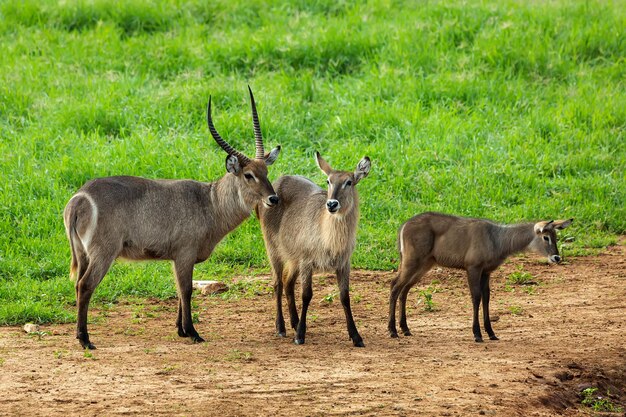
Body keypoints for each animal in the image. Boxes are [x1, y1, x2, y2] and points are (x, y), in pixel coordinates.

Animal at [61, 88, 280, 348]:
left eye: (266, 172)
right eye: (248, 175)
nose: (273, 198)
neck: (210, 202)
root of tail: (79, 198)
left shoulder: (177, 258)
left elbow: (178, 289)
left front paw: (181, 330)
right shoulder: (185, 254)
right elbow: (186, 290)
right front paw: (193, 332)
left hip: (83, 254)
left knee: (77, 285)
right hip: (103, 253)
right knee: (85, 286)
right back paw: (85, 340)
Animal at [255, 151, 368, 346]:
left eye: (349, 182)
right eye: (328, 181)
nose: (332, 204)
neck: (330, 239)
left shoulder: (344, 264)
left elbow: (345, 296)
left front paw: (356, 337)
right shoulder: (307, 262)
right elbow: (306, 295)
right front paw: (300, 335)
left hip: (294, 259)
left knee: (288, 282)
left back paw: (294, 322)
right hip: (274, 250)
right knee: (278, 283)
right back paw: (281, 328)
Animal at [388, 213, 572, 342]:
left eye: (556, 237)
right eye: (545, 237)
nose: (557, 258)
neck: (497, 239)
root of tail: (404, 226)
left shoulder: (486, 272)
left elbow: (486, 298)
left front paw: (491, 333)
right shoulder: (473, 268)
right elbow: (476, 297)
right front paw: (477, 334)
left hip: (424, 265)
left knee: (404, 289)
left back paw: (405, 329)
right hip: (412, 262)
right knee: (395, 286)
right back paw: (393, 331)